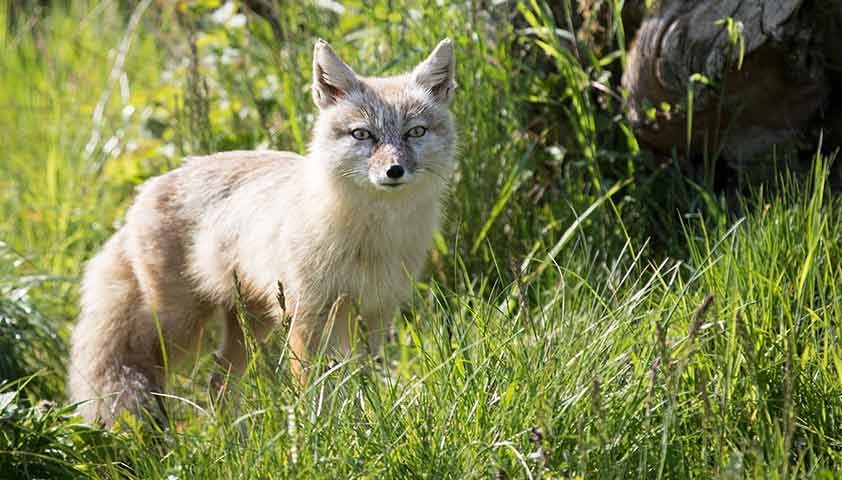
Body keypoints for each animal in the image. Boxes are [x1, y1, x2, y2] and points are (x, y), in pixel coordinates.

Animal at [68, 39, 456, 426]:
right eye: (363, 134)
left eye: (415, 132)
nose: (394, 170)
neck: (370, 240)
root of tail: (145, 189)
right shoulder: (307, 316)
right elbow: (315, 392)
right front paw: (319, 432)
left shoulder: (372, 315)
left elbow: (361, 385)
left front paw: (366, 425)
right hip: (179, 329)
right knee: (152, 372)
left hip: (250, 323)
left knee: (218, 384)